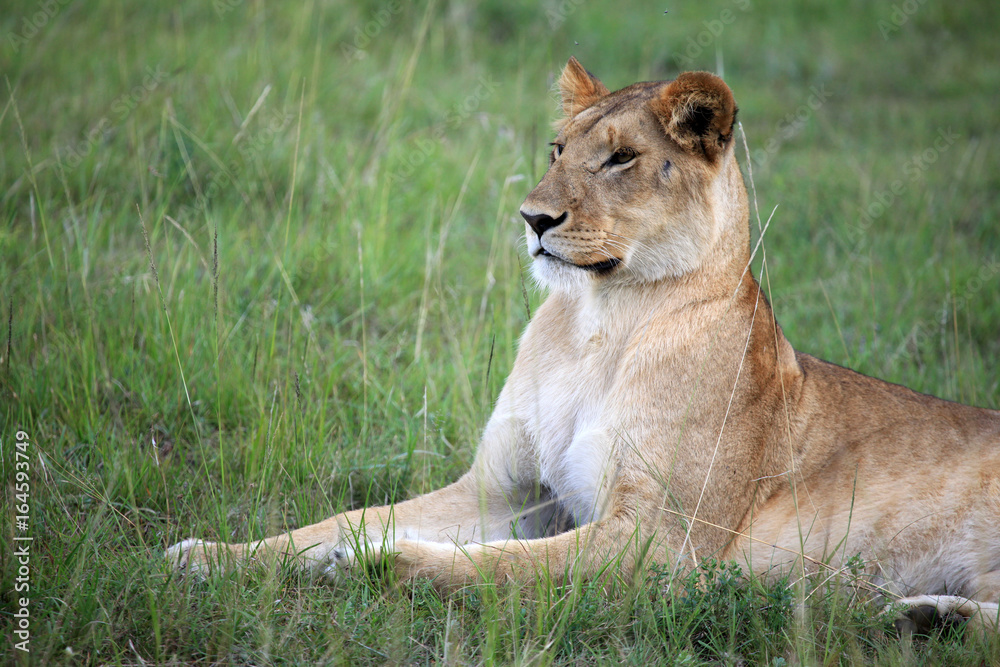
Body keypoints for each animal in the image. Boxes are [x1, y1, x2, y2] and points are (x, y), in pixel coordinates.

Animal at [169, 58, 1000, 633]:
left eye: (621, 157)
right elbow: (343, 519)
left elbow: (502, 568)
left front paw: (379, 563)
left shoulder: (660, 542)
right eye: (556, 147)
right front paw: (207, 556)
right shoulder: (506, 492)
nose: (533, 218)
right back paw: (925, 615)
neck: (598, 324)